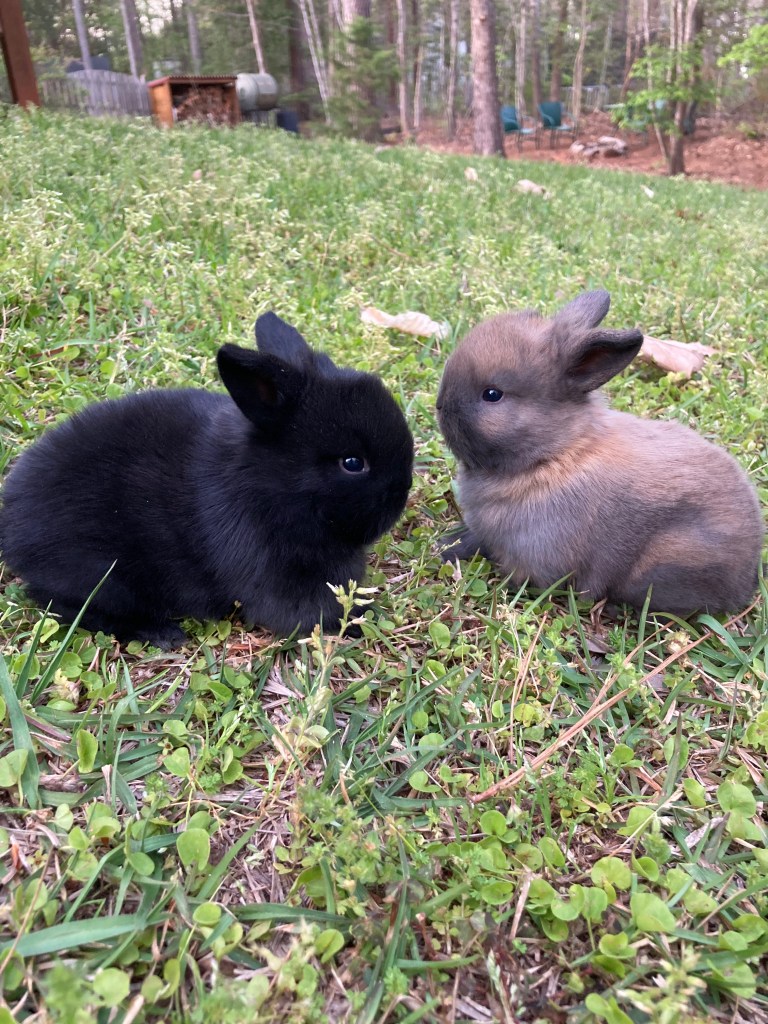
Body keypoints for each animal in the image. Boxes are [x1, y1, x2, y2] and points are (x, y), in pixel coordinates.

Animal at [0, 313, 414, 648]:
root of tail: (12, 528)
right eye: (352, 463)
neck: (269, 483)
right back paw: (161, 633)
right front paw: (359, 623)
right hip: (101, 576)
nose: (402, 494)